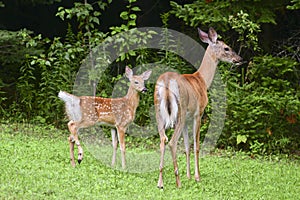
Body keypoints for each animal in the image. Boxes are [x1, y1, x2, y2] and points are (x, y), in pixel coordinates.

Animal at [155, 27, 244, 188]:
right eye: (226, 48)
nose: (239, 59)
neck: (202, 80)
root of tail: (166, 82)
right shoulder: (198, 114)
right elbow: (196, 146)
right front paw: (197, 177)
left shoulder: (188, 119)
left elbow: (187, 146)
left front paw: (189, 176)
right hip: (180, 112)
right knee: (171, 142)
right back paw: (178, 182)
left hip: (158, 112)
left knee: (162, 140)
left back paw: (160, 182)